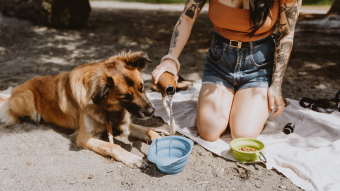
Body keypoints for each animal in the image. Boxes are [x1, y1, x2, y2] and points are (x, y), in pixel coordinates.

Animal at [0, 50, 161, 167]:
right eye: (126, 97)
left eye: (142, 87)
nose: (151, 112)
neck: (106, 107)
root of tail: (14, 90)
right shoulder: (84, 137)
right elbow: (112, 146)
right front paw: (133, 159)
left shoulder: (123, 124)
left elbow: (148, 130)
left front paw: (159, 138)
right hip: (27, 98)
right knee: (10, 113)